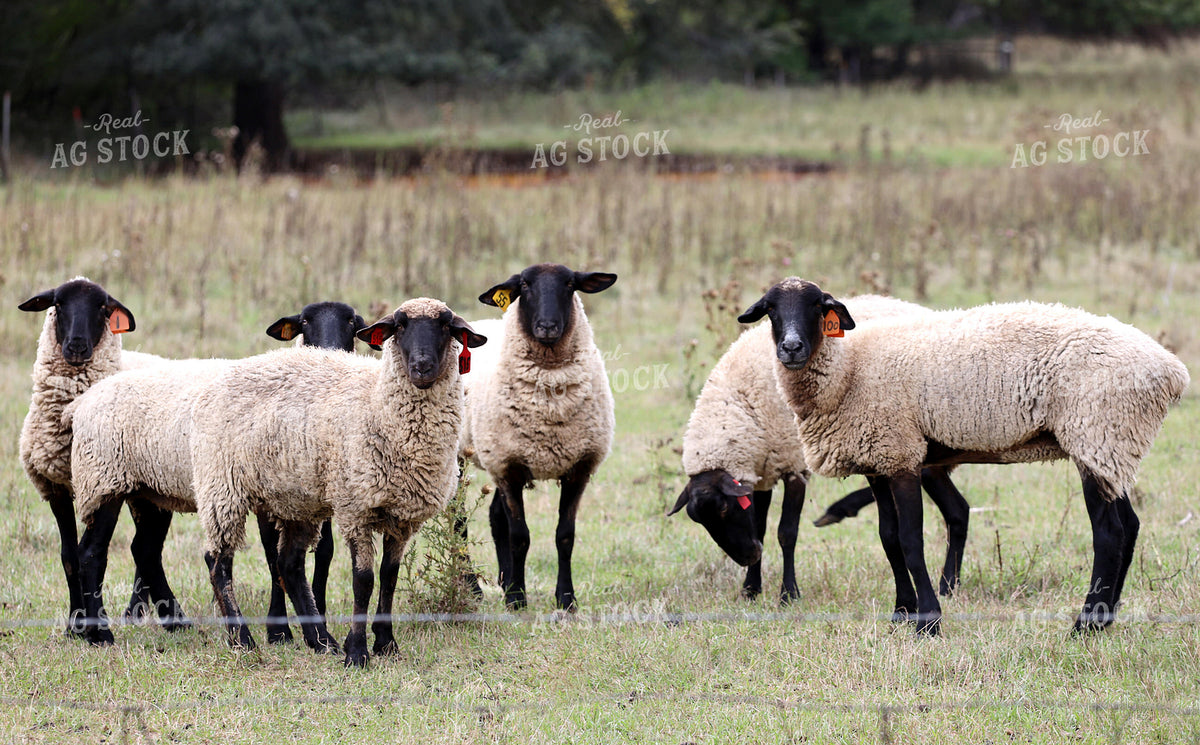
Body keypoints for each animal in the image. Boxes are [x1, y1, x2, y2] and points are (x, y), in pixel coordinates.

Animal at [17, 277, 188, 640]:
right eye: (58, 304)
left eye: (103, 308)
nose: (77, 346)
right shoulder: (58, 487)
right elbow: (69, 555)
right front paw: (76, 623)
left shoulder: (102, 485)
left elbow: (94, 554)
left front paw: (93, 626)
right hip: (143, 491)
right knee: (144, 548)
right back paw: (142, 613)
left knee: (146, 549)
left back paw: (154, 614)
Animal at [186, 298, 484, 666]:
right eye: (400, 326)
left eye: (446, 326)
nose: (422, 366)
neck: (378, 404)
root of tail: (220, 376)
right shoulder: (355, 507)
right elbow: (363, 580)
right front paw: (357, 651)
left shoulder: (402, 516)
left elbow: (389, 576)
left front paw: (386, 643)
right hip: (222, 487)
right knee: (218, 563)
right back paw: (243, 638)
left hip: (295, 498)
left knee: (289, 565)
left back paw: (320, 640)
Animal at [461, 263, 617, 611]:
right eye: (524, 286)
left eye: (570, 284)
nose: (547, 326)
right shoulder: (508, 467)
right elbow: (520, 536)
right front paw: (517, 598)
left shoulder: (577, 467)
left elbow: (565, 535)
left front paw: (566, 598)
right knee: (459, 521)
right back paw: (472, 587)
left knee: (495, 517)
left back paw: (503, 580)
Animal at [671, 294, 970, 604]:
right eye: (700, 521)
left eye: (723, 509)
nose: (747, 556)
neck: (741, 405)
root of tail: (919, 309)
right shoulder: (763, 466)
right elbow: (761, 527)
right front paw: (751, 588)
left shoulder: (792, 463)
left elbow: (786, 532)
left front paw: (788, 593)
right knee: (958, 510)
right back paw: (948, 586)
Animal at [740, 277, 1189, 635]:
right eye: (770, 310)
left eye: (819, 306)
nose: (791, 348)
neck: (848, 370)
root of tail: (1172, 371)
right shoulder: (878, 458)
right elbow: (888, 538)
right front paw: (901, 612)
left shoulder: (902, 454)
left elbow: (911, 540)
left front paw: (928, 621)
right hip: (1112, 447)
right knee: (1130, 526)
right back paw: (1105, 619)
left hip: (1095, 433)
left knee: (1109, 533)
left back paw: (1084, 626)